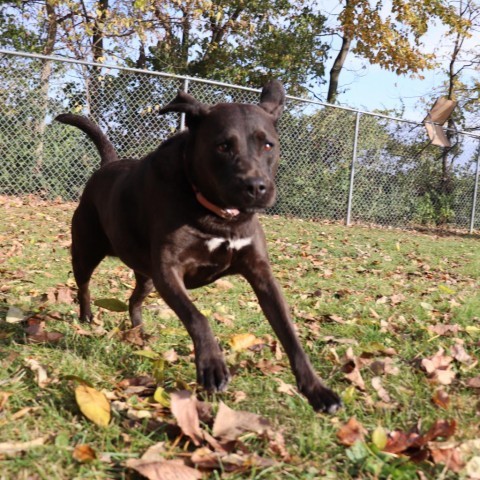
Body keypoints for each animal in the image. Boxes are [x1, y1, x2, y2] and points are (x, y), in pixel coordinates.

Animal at [56, 80, 342, 410]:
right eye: (223, 146)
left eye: (268, 144)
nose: (256, 187)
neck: (219, 215)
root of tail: (109, 164)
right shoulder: (169, 270)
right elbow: (198, 317)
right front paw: (212, 366)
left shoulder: (260, 273)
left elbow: (288, 332)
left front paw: (317, 389)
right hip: (87, 250)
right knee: (84, 284)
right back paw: (86, 317)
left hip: (146, 276)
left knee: (133, 300)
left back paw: (139, 332)